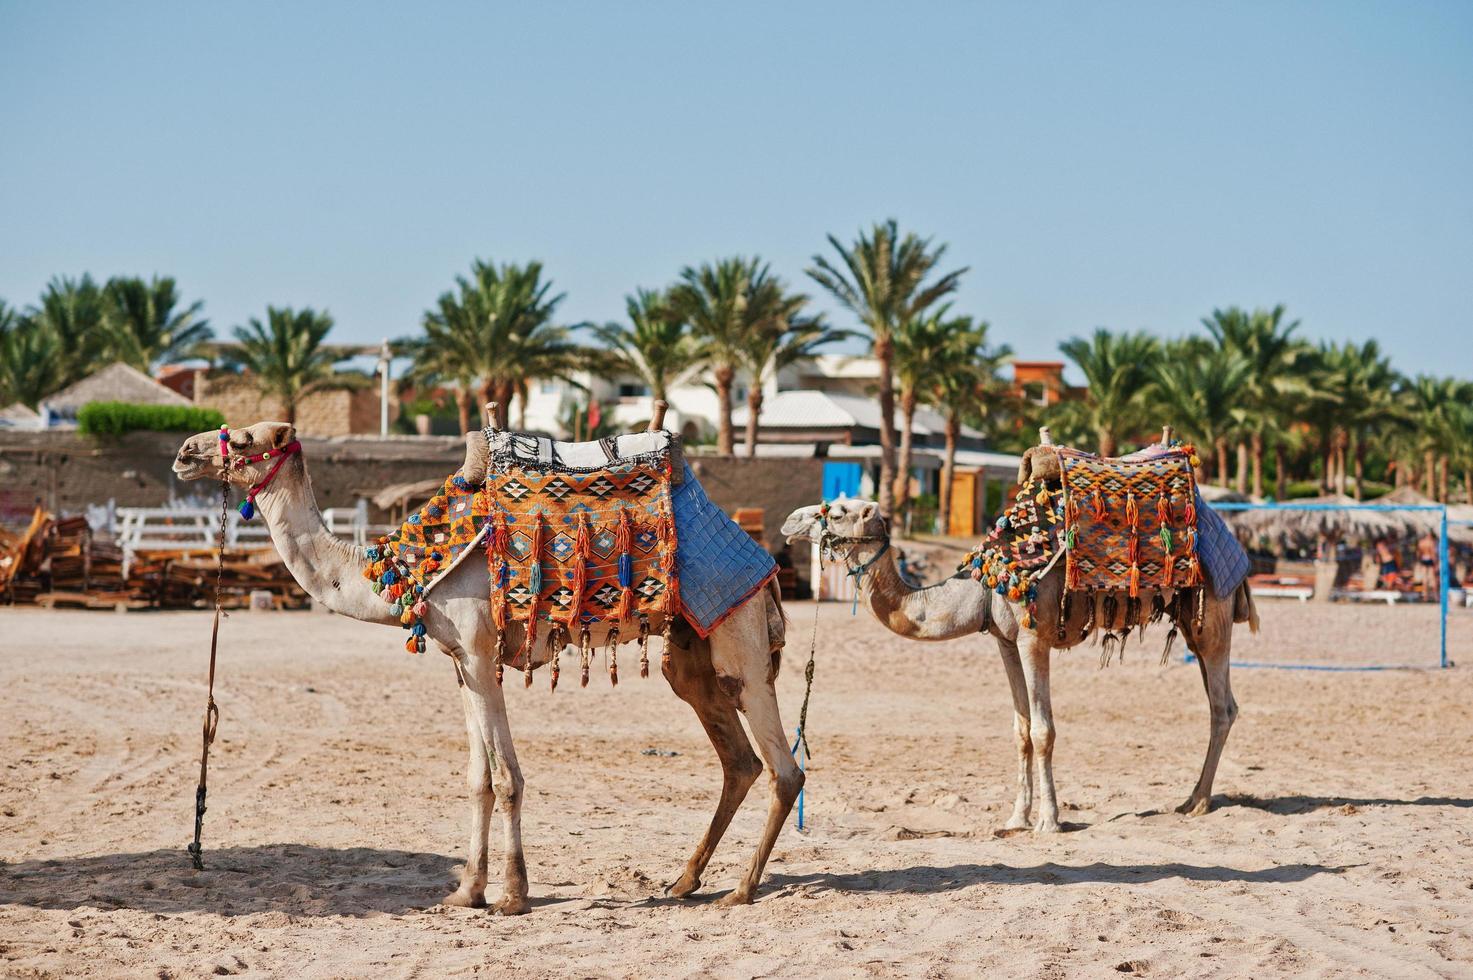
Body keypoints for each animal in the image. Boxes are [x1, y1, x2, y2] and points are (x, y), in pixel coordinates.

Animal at [172, 418, 807, 907]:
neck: (405, 567)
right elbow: (477, 778)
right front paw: (466, 892)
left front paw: (512, 895)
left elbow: (506, 779)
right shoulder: (460, 662)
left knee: (785, 768)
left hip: (740, 636)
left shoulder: (481, 654)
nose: (185, 452)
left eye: (246, 439)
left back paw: (740, 890)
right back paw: (683, 880)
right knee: (738, 760)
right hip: (691, 655)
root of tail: (764, 561)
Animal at [783, 480, 1254, 831]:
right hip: (1193, 623)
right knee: (1218, 701)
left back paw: (1197, 802)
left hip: (1213, 617)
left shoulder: (1033, 638)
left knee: (1223, 706)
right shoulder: (1005, 641)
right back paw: (1193, 798)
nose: (789, 521)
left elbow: (1044, 731)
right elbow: (1022, 731)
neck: (982, 587)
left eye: (837, 510)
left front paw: (1049, 820)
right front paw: (1015, 817)